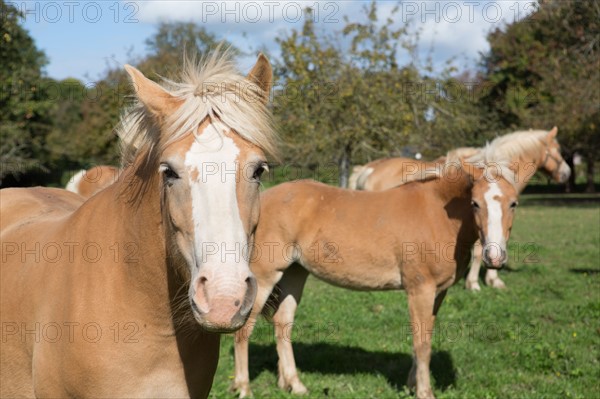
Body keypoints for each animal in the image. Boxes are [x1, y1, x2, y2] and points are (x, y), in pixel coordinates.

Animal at [233, 157, 520, 399]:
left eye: (513, 203)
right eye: (475, 203)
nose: (494, 257)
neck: (437, 214)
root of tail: (263, 200)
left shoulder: (438, 293)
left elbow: (423, 338)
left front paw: (412, 384)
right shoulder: (420, 290)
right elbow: (422, 344)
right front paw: (424, 392)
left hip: (294, 273)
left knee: (283, 324)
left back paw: (294, 384)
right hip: (264, 277)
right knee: (244, 329)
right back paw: (244, 388)